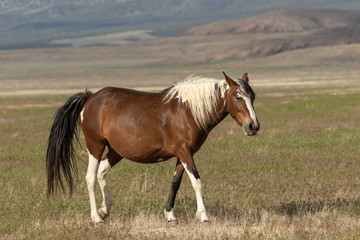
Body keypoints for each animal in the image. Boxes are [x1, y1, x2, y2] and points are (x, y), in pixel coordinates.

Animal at [46, 71, 258, 223]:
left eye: (253, 97)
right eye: (238, 97)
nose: (253, 126)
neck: (188, 112)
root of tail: (90, 98)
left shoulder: (183, 154)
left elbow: (175, 183)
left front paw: (170, 215)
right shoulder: (185, 153)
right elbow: (197, 181)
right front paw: (203, 216)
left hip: (116, 151)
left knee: (101, 173)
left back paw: (105, 209)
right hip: (95, 145)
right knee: (90, 178)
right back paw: (97, 218)